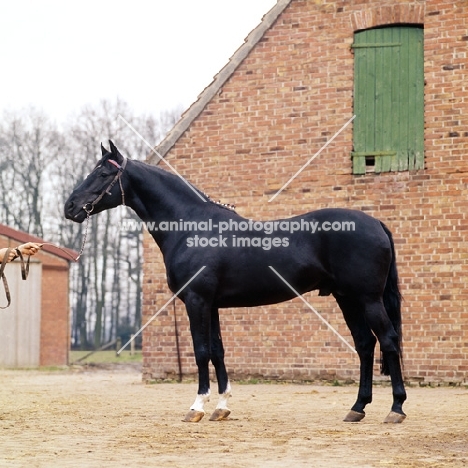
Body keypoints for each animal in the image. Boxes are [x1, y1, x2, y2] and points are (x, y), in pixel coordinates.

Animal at [63, 141, 406, 422]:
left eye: (103, 173)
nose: (70, 207)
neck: (191, 226)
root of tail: (376, 222)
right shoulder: (212, 304)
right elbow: (218, 351)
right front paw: (222, 407)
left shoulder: (197, 301)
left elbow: (201, 351)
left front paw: (197, 407)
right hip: (346, 298)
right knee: (365, 345)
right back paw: (357, 408)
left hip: (368, 298)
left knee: (388, 340)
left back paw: (396, 409)